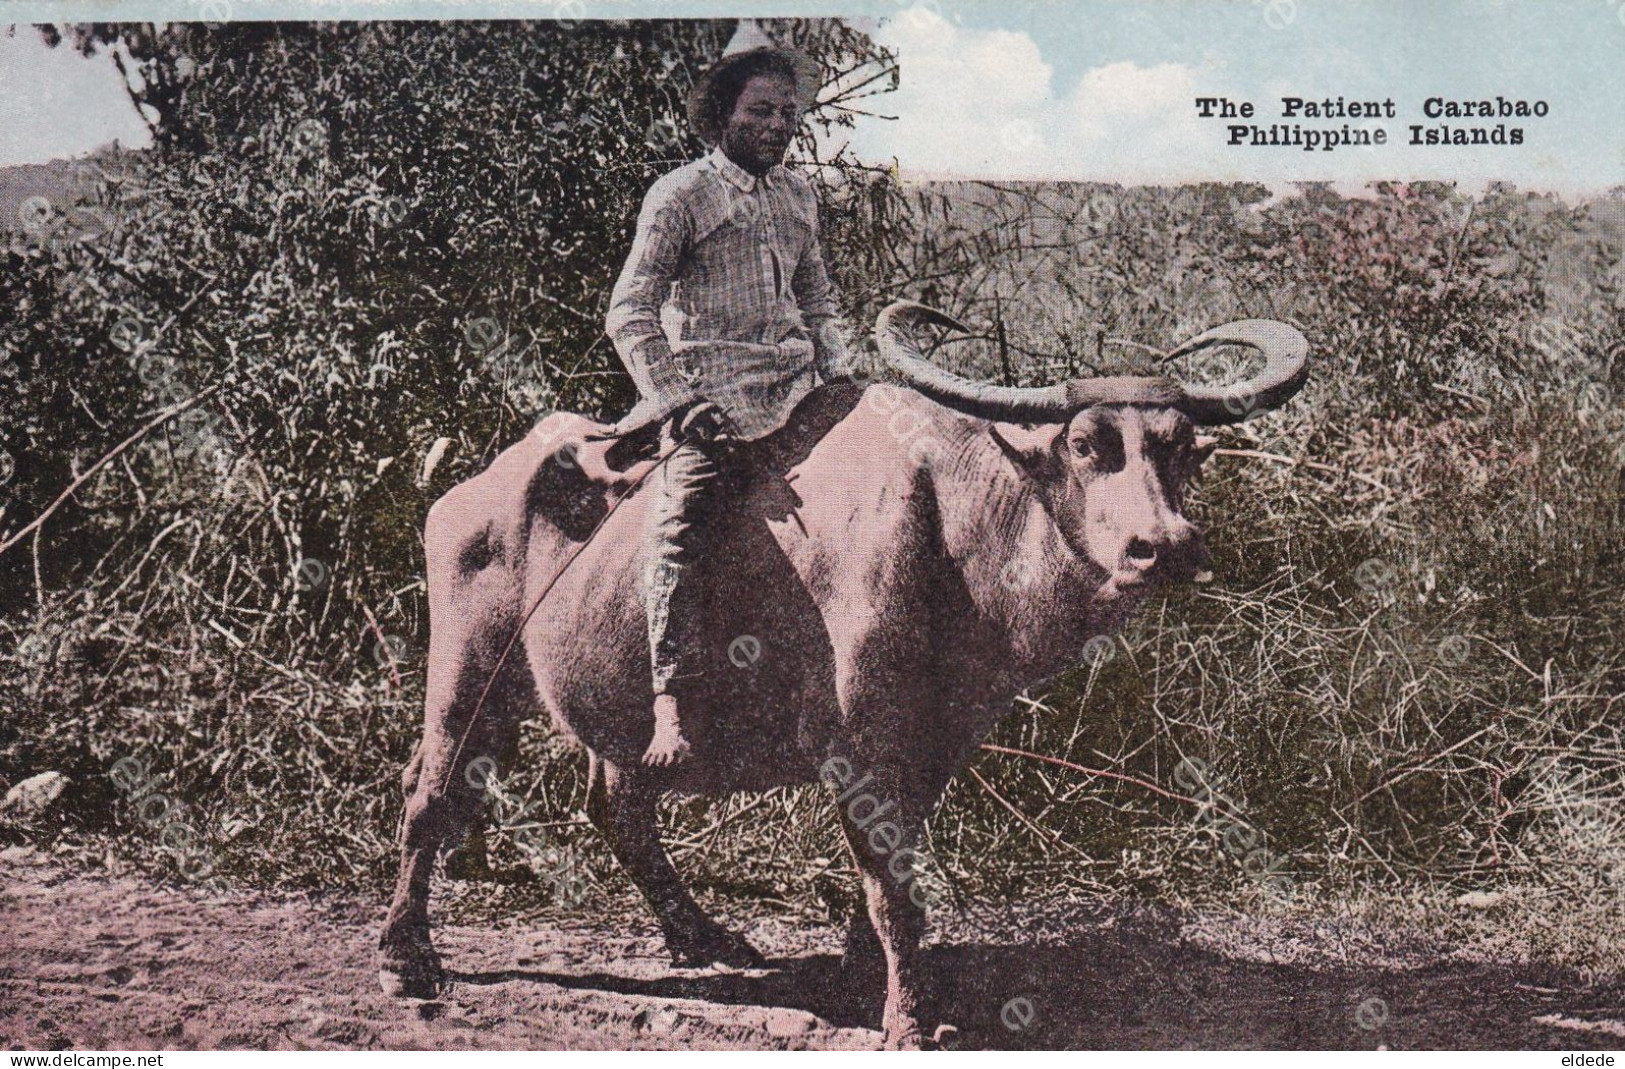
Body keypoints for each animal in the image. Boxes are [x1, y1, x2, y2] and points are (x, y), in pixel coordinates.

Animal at [380, 302, 1306, 1046]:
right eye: (1085, 444)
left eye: (1183, 449)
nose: (1166, 546)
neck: (955, 528)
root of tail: (479, 481)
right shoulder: (858, 749)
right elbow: (890, 886)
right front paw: (907, 1019)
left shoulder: (934, 745)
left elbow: (892, 881)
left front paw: (866, 972)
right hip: (472, 669)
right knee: (433, 789)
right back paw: (405, 955)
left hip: (614, 707)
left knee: (618, 807)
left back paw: (703, 937)